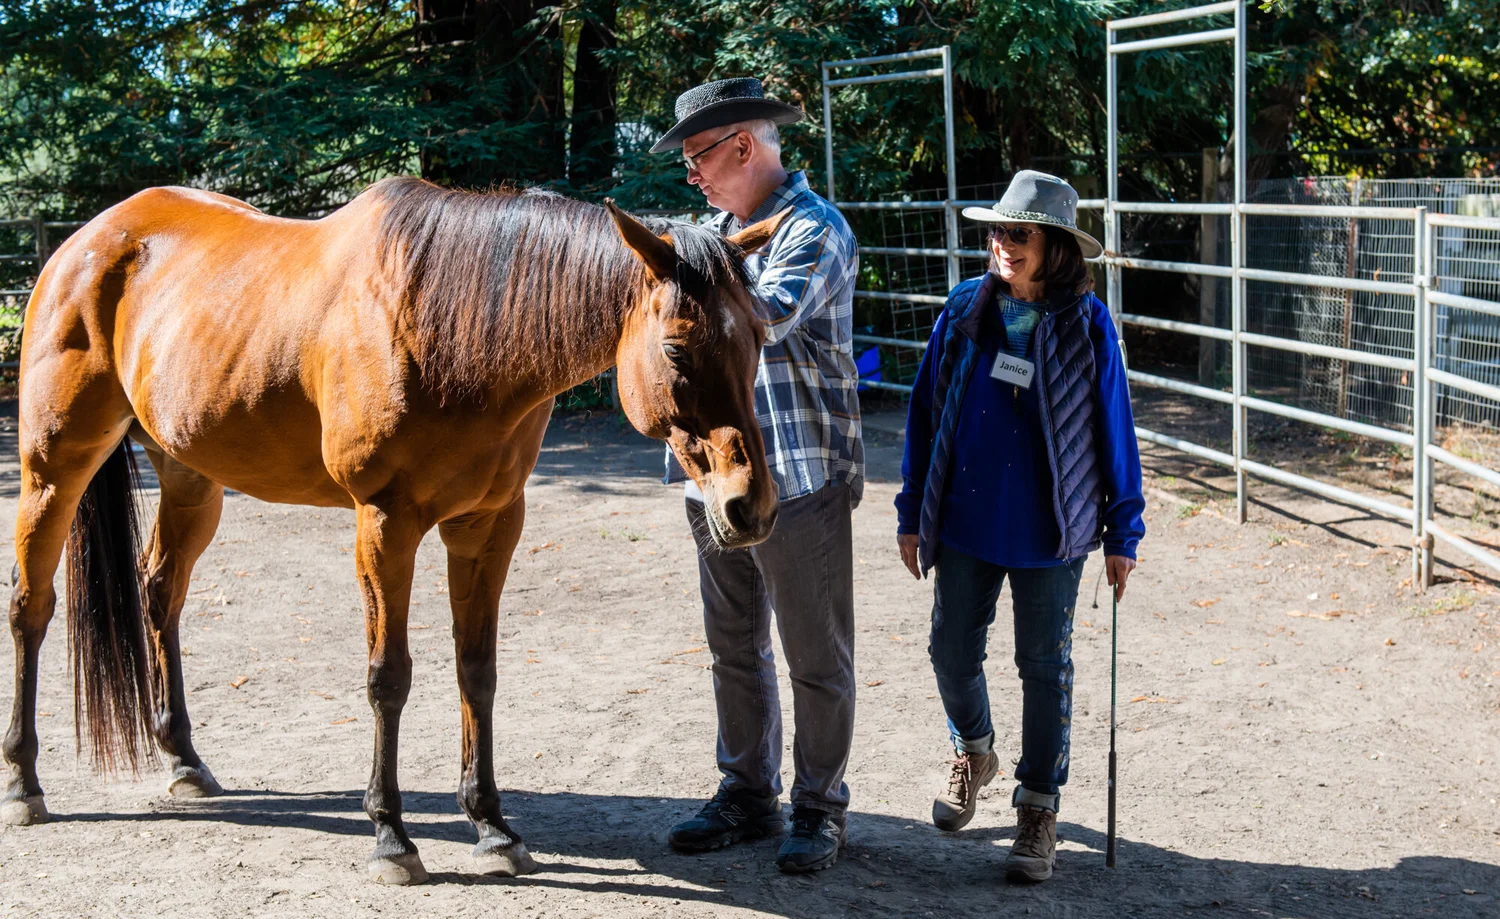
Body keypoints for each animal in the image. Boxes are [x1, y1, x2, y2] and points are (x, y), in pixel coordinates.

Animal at [1, 176, 786, 884]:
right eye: (678, 351)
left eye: (758, 337)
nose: (748, 508)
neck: (450, 331)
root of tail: (86, 242)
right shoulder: (385, 521)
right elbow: (389, 677)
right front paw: (390, 837)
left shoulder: (489, 524)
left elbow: (478, 671)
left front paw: (493, 827)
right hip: (53, 469)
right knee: (31, 607)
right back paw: (23, 782)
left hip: (191, 480)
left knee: (160, 591)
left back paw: (184, 760)